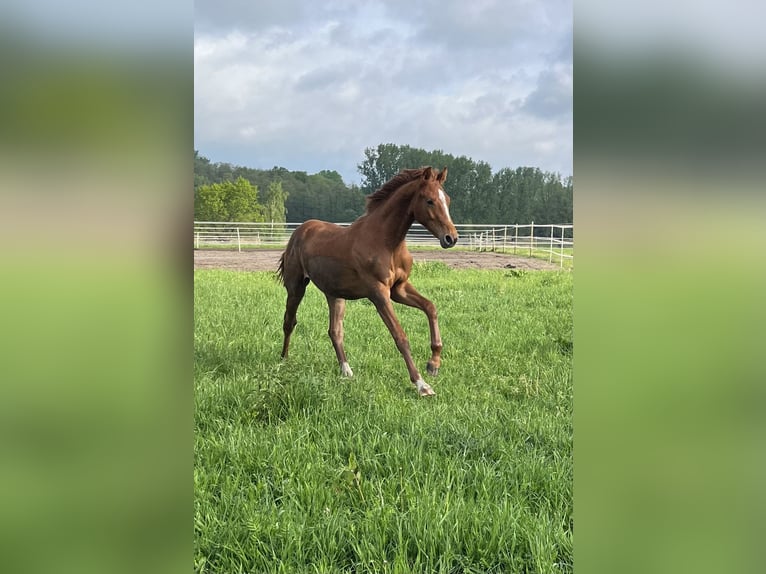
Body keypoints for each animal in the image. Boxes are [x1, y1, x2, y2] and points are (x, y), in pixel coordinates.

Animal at [280, 166, 460, 396]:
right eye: (429, 201)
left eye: (448, 199)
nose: (451, 238)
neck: (386, 242)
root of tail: (300, 231)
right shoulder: (379, 294)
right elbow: (400, 337)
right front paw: (421, 384)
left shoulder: (399, 289)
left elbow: (431, 307)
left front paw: (433, 364)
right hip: (296, 287)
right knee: (289, 322)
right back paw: (283, 361)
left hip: (335, 294)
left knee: (335, 331)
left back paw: (347, 371)